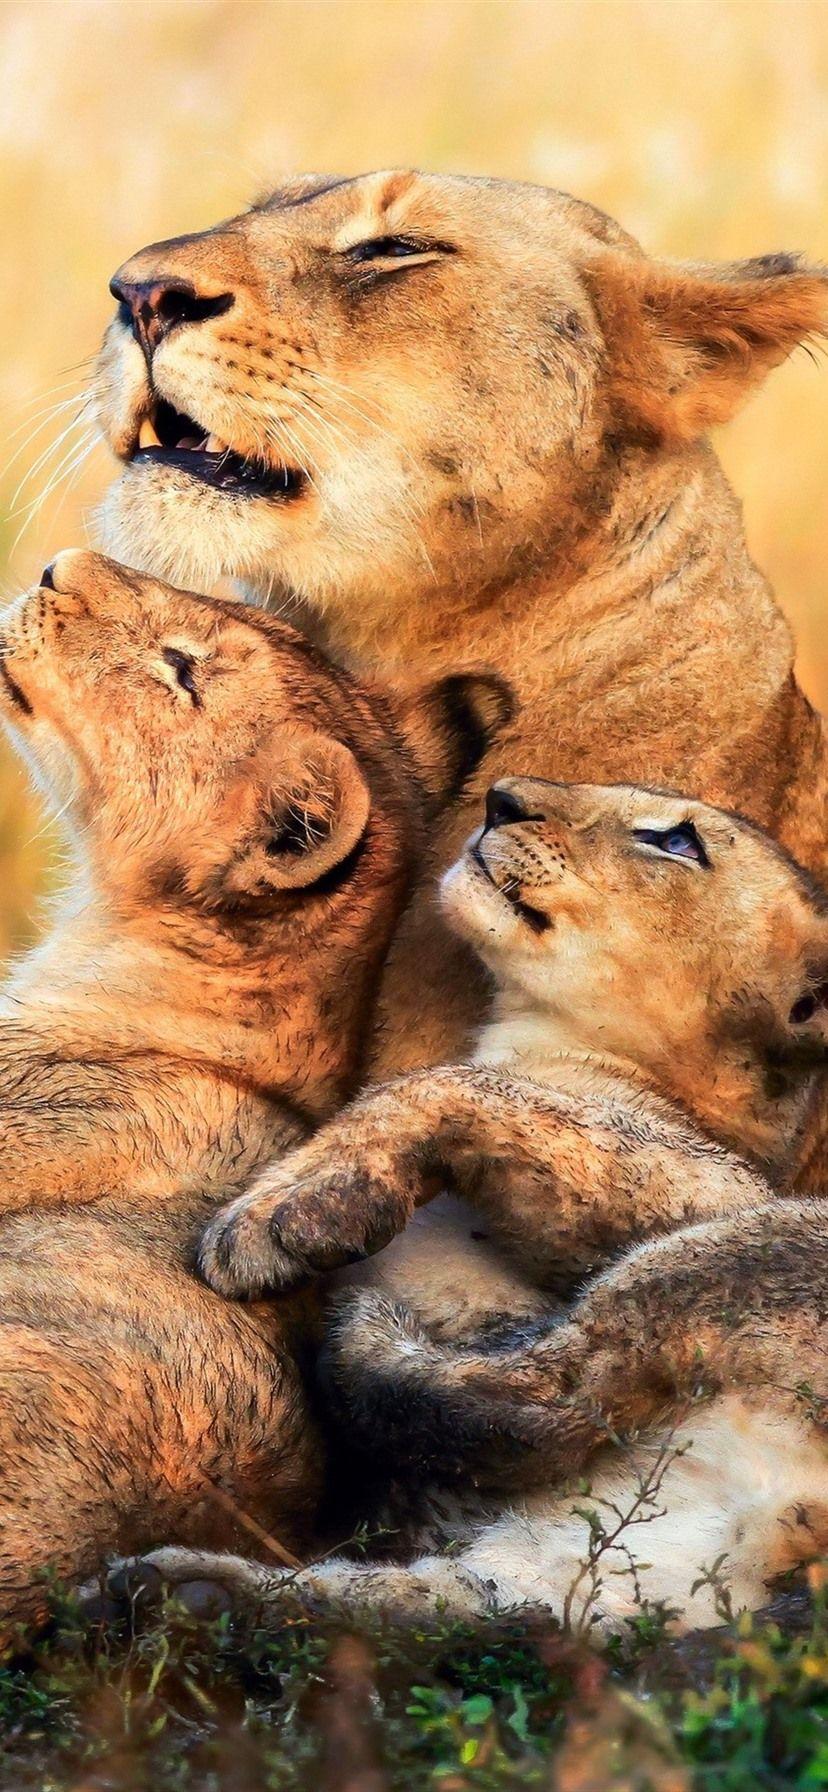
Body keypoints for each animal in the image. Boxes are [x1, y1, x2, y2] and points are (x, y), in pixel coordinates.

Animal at [118, 779, 828, 1633]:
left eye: (678, 842)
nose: (502, 798)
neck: (538, 1040)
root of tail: (789, 1530)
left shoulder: (712, 1187)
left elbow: (448, 1084)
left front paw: (280, 1215)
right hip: (612, 1562)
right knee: (465, 1602)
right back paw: (177, 1598)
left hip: (747, 1245)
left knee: (550, 1397)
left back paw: (366, 1339)